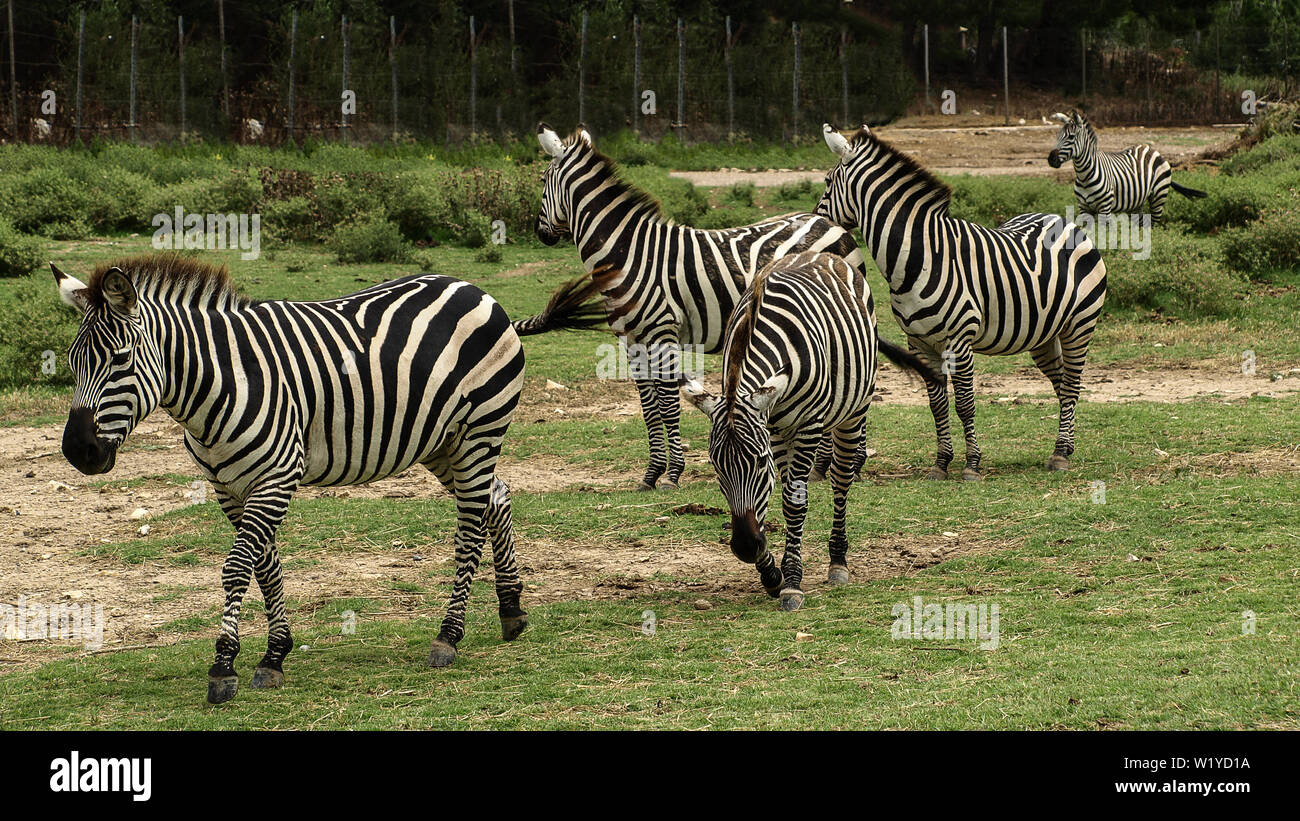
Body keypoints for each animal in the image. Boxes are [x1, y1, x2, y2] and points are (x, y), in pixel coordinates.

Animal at [50, 253, 598, 701]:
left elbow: (236, 568)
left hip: (480, 430)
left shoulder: (275, 477)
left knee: (469, 526)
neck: (218, 383)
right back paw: (511, 610)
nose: (78, 452)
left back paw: (449, 635)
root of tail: (478, 291)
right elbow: (264, 567)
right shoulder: (230, 487)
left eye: (120, 359)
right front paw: (275, 655)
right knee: (495, 499)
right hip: (444, 443)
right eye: (72, 362)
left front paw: (224, 667)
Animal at [533, 122, 868, 491]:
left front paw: (673, 473)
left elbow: (668, 405)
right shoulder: (632, 341)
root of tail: (832, 224)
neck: (627, 254)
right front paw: (651, 473)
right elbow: (648, 409)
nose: (540, 233)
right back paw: (826, 465)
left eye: (542, 180)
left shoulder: (661, 333)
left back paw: (848, 464)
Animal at [681, 250, 935, 610]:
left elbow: (793, 502)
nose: (745, 547)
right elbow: (768, 501)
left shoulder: (807, 425)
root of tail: (820, 253)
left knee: (841, 479)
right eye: (716, 467)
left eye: (760, 462)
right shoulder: (772, 427)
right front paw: (771, 574)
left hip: (854, 409)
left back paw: (838, 562)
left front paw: (791, 583)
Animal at [816, 124, 1102, 478]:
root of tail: (1064, 221)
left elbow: (965, 404)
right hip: (1044, 334)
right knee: (1062, 386)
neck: (921, 256)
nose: (814, 220)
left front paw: (972, 464)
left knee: (1073, 385)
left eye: (827, 181)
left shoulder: (960, 340)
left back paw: (1061, 453)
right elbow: (937, 403)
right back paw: (1065, 447)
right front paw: (941, 463)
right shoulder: (919, 342)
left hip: (1079, 325)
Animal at [1045, 112, 1206, 223]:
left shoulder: (1105, 207)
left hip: (1159, 197)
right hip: (1137, 202)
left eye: (1071, 137)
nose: (1051, 160)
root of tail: (1152, 149)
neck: (1084, 175)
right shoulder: (1083, 207)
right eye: (1058, 136)